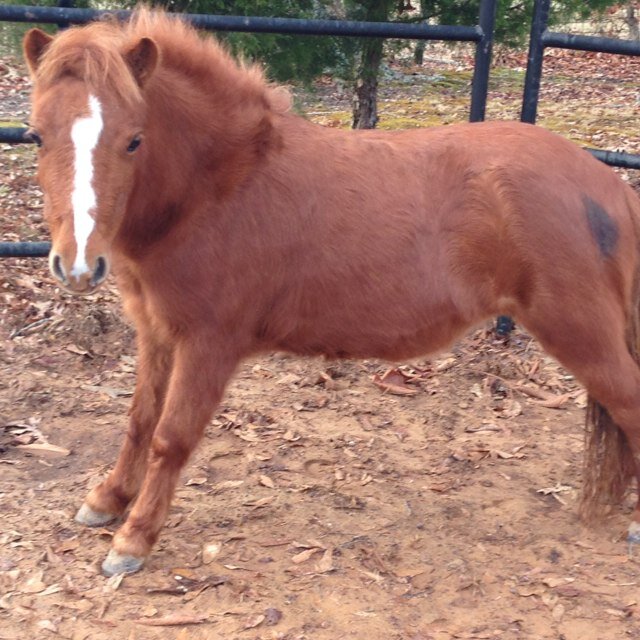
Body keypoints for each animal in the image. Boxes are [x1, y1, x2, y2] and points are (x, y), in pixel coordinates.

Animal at [22, 8, 640, 576]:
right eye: (35, 135)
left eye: (134, 140)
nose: (78, 264)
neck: (218, 187)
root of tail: (609, 185)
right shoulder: (156, 334)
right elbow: (138, 422)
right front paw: (107, 501)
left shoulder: (207, 345)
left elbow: (170, 438)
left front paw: (134, 540)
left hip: (580, 333)